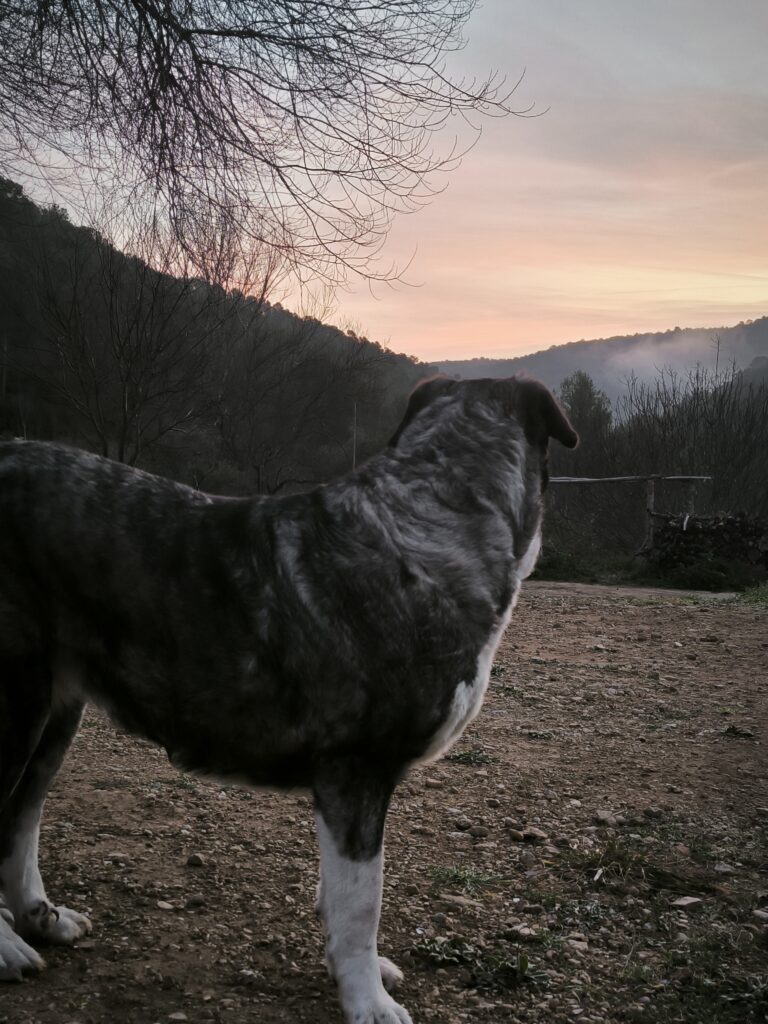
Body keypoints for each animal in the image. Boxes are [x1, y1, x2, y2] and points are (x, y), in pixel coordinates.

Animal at [0, 378, 577, 1024]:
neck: (429, 521)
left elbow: (338, 894)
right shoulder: (357, 772)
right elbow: (362, 902)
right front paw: (367, 1000)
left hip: (54, 714)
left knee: (20, 818)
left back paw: (39, 918)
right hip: (15, 704)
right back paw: (6, 947)